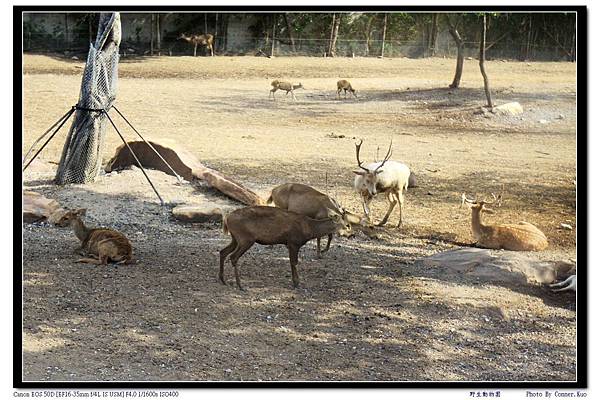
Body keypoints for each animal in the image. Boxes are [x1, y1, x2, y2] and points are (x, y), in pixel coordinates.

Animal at [219, 206, 352, 290]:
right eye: (347, 225)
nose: (352, 235)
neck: (308, 229)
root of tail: (227, 218)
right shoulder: (293, 242)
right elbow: (294, 262)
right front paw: (296, 283)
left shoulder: (289, 243)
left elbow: (292, 262)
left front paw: (296, 282)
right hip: (245, 238)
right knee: (233, 257)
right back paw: (240, 285)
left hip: (235, 238)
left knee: (223, 252)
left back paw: (223, 280)